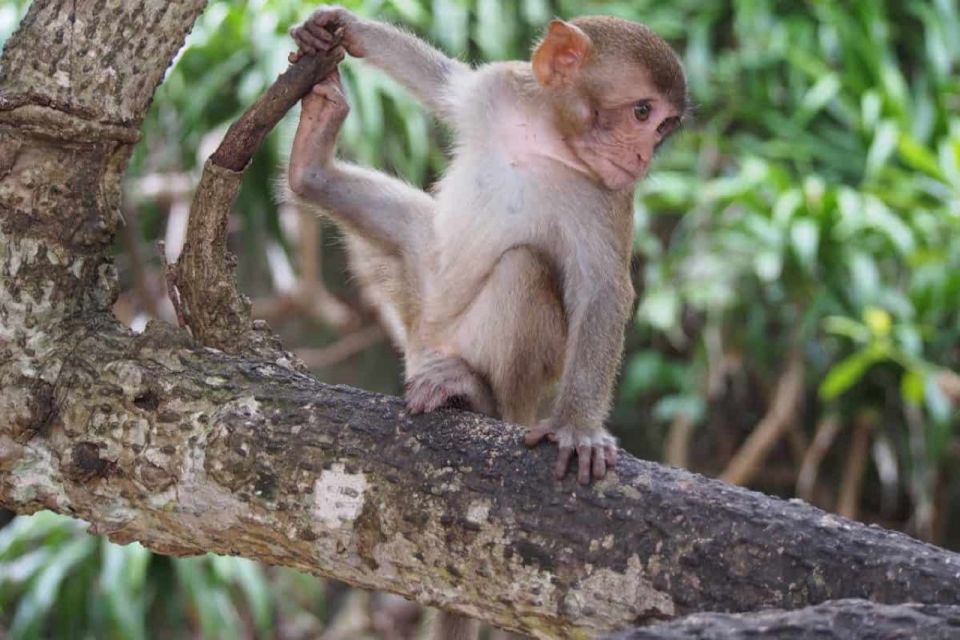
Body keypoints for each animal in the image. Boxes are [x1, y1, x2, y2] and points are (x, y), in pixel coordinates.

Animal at [286, 8, 685, 638]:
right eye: (644, 113)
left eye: (663, 127)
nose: (644, 157)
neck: (549, 142)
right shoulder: (499, 92)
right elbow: (444, 83)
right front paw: (345, 28)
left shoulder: (608, 197)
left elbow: (603, 290)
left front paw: (578, 427)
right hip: (420, 307)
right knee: (419, 233)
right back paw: (311, 171)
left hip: (503, 372)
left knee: (523, 268)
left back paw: (475, 397)